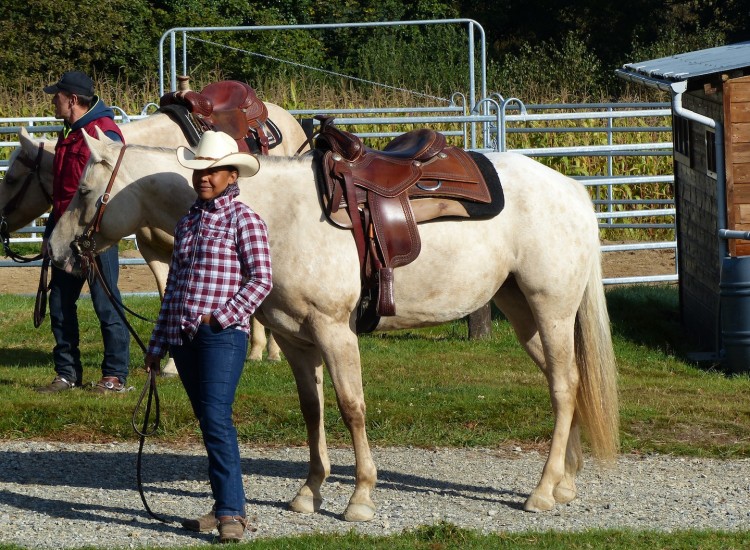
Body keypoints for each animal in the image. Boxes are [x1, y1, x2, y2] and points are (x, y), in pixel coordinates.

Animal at [0, 96, 307, 362]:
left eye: (12, 178)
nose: (53, 247)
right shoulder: (153, 250)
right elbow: (166, 299)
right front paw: (170, 361)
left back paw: (269, 350)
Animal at [48, 134, 619, 521]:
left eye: (84, 191)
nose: (55, 250)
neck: (279, 216)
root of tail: (572, 190)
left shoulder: (334, 332)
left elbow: (351, 408)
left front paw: (360, 498)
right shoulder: (295, 338)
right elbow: (312, 410)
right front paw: (309, 492)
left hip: (550, 309)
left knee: (564, 388)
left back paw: (542, 491)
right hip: (524, 314)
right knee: (566, 384)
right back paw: (565, 482)